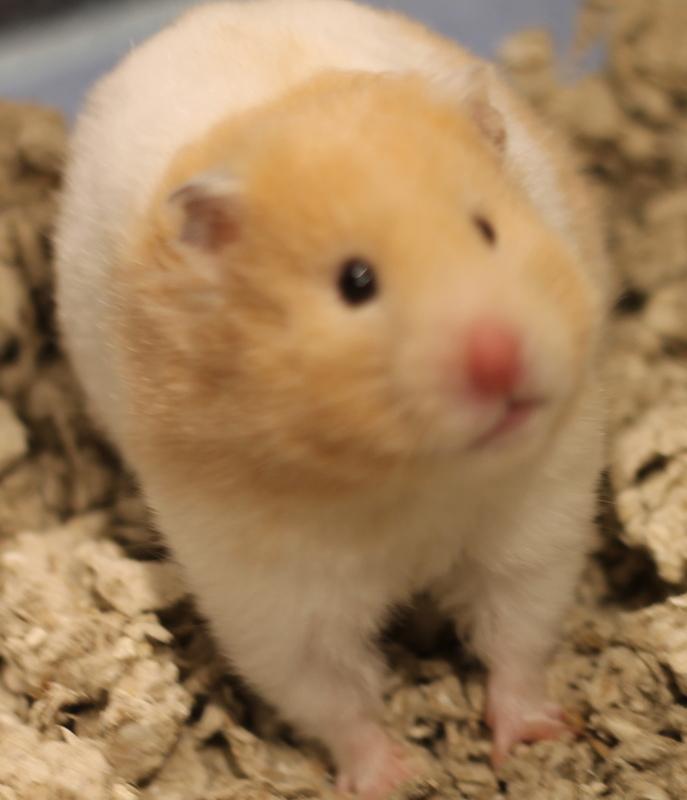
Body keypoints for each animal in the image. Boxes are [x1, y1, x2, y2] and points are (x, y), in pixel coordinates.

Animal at [54, 1, 611, 797]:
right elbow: (336, 699)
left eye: (487, 229)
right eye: (355, 282)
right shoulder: (272, 596)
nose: (499, 360)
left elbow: (517, 637)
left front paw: (528, 737)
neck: (413, 479)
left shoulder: (535, 524)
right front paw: (389, 778)